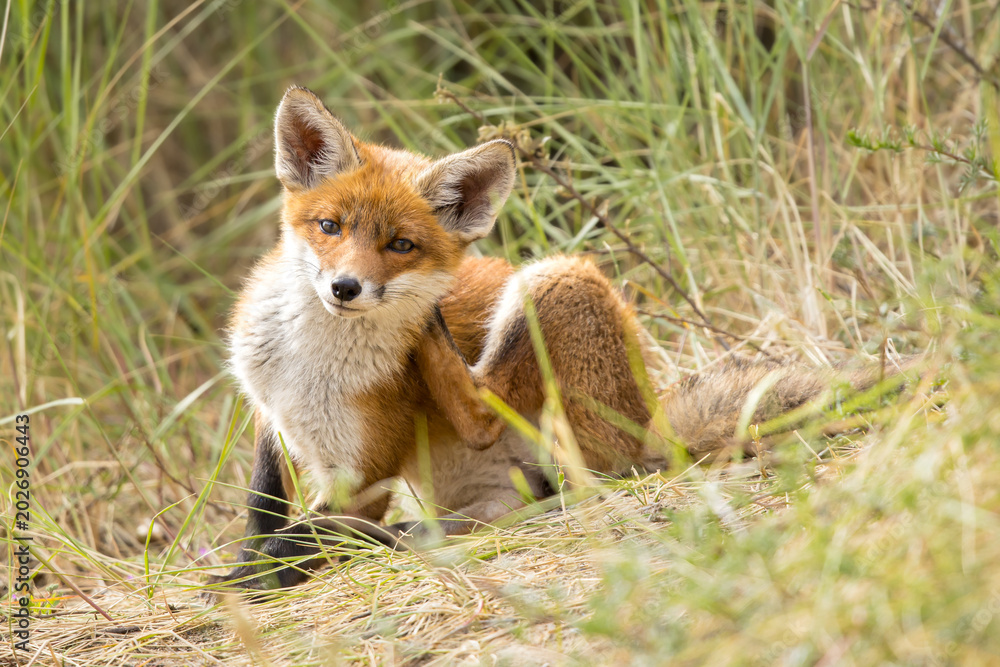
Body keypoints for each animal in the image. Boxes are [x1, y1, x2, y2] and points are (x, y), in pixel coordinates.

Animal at [213, 86, 908, 592]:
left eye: (400, 245)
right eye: (330, 226)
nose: (346, 288)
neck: (308, 365)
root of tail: (650, 424)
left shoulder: (366, 473)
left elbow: (309, 533)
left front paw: (259, 576)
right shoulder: (268, 412)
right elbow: (264, 505)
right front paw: (250, 564)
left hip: (552, 281)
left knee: (491, 422)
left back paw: (432, 331)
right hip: (490, 492)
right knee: (484, 513)